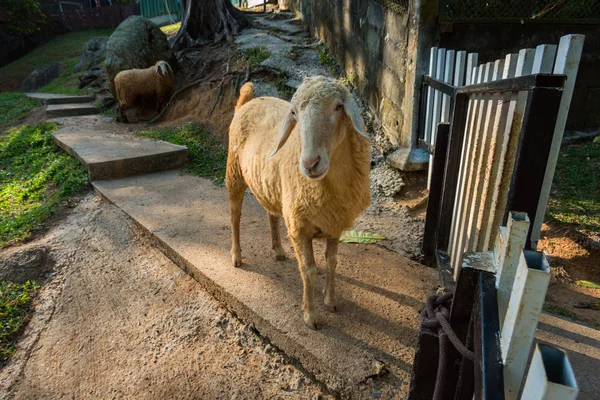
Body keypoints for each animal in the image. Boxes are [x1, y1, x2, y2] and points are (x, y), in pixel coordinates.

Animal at [226, 76, 370, 330]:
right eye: (294, 113)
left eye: (338, 106)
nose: (310, 163)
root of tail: (249, 101)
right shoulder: (299, 227)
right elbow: (308, 270)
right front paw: (310, 316)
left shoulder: (335, 223)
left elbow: (332, 262)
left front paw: (331, 301)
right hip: (234, 173)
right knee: (235, 216)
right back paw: (237, 256)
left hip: (271, 186)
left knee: (271, 214)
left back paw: (278, 250)